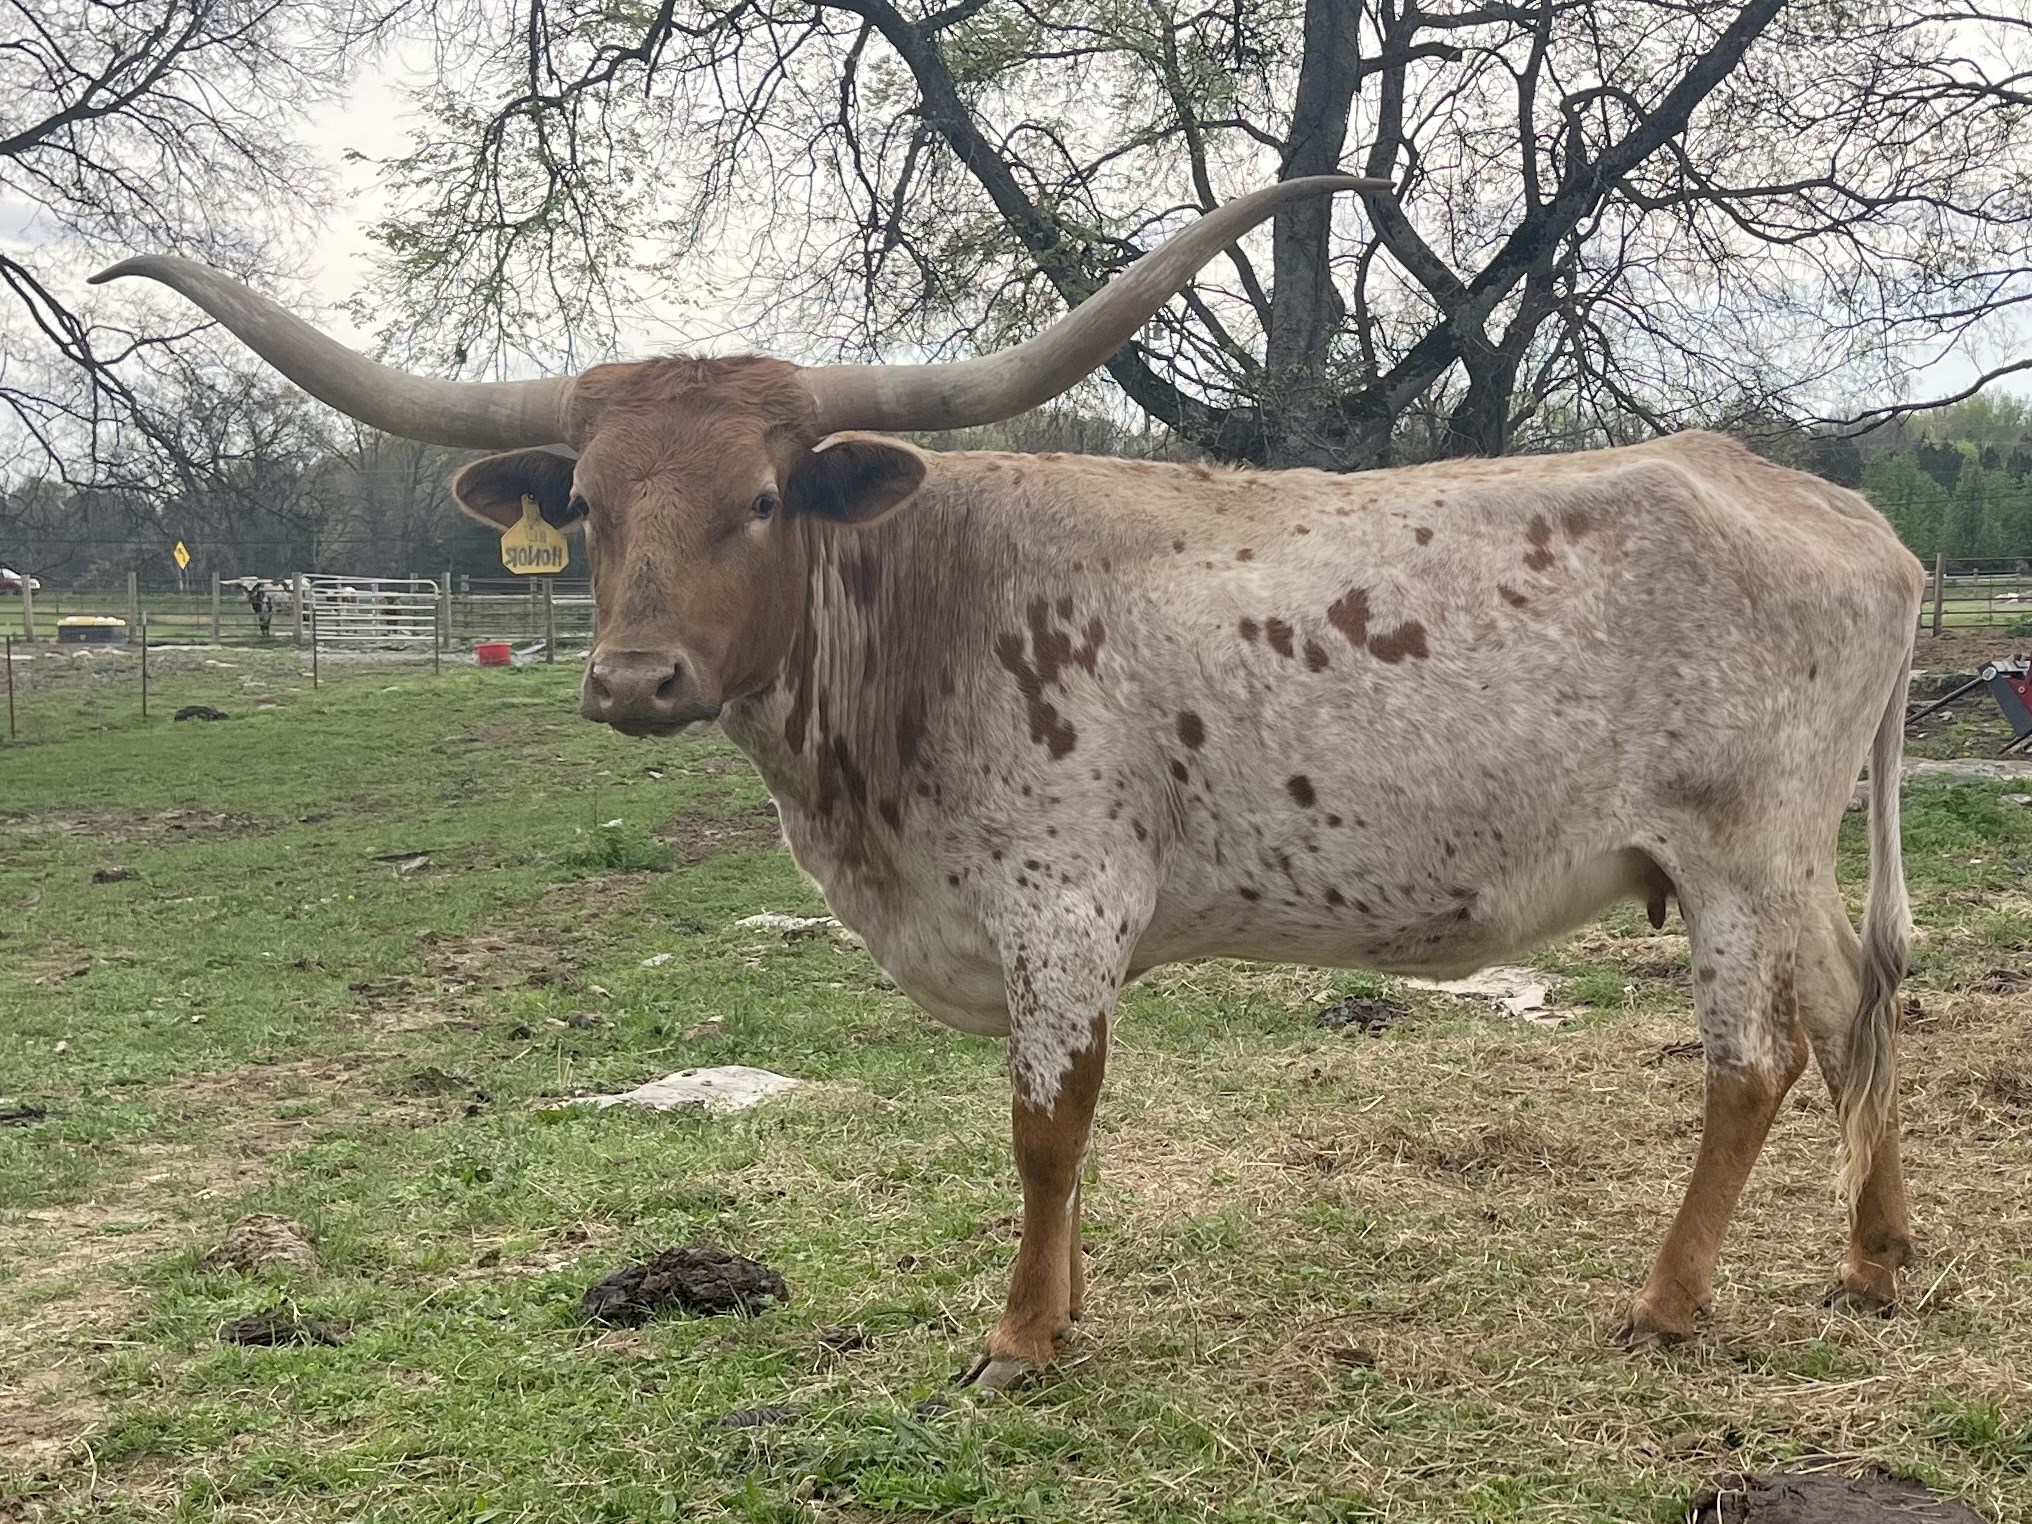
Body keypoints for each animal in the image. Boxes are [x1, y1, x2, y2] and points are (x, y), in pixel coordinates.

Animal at [95, 177, 1926, 1390]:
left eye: (762, 498)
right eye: (594, 508)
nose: (632, 679)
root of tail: (1846, 516)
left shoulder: (1061, 906)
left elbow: (1046, 1129)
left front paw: (1025, 1335)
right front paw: (1062, 1311)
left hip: (1739, 851)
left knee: (1754, 1061)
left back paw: (1671, 1300)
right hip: (1789, 862)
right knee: (1858, 1006)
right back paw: (1874, 1260)